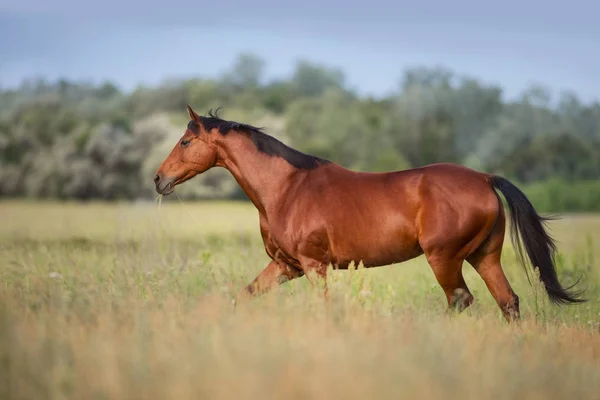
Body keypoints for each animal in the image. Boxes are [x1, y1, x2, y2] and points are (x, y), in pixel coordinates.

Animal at [155, 105, 584, 322]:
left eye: (185, 141)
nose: (159, 179)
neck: (287, 188)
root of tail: (484, 178)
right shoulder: (285, 266)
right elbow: (241, 297)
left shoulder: (313, 265)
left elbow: (324, 309)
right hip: (484, 256)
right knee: (508, 302)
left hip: (444, 258)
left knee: (460, 300)